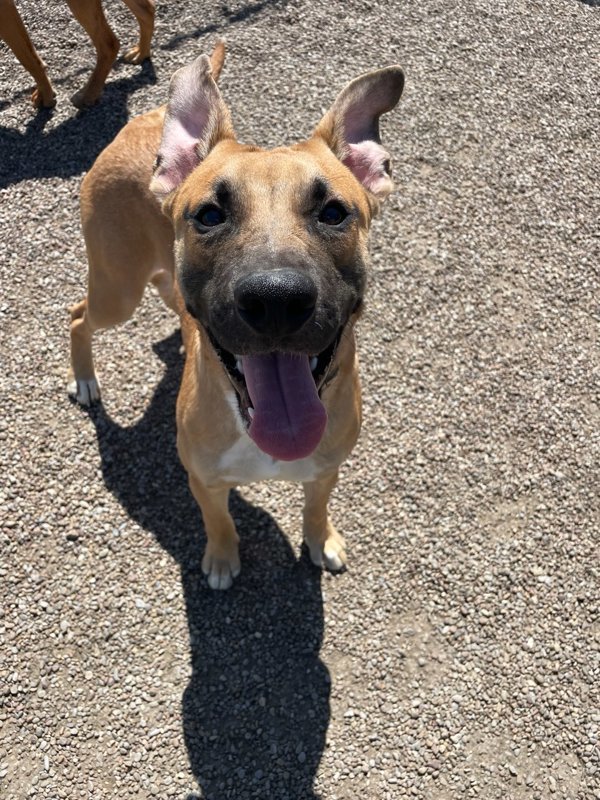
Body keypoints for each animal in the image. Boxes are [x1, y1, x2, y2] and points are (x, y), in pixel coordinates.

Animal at [1, 0, 155, 108]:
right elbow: (29, 54)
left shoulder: (5, 6)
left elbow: (28, 59)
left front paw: (46, 94)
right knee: (147, 9)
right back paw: (142, 52)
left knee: (109, 44)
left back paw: (88, 95)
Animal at [70, 47, 406, 592]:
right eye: (209, 214)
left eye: (334, 212)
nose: (276, 300)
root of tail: (149, 116)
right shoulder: (203, 479)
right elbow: (219, 519)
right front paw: (223, 559)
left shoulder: (325, 469)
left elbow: (316, 507)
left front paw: (322, 540)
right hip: (117, 288)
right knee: (79, 316)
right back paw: (84, 379)